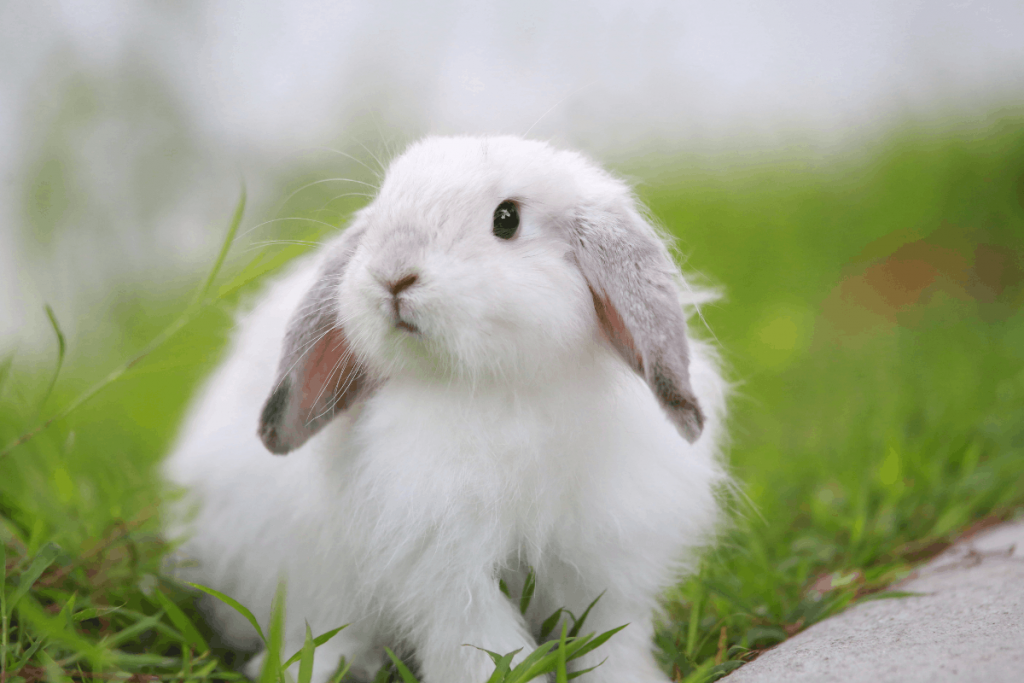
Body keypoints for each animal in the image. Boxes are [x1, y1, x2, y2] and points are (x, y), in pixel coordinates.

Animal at [162, 135, 729, 683]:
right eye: (383, 208)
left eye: (507, 219)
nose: (393, 275)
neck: (499, 387)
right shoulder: (448, 572)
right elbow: (482, 647)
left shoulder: (606, 563)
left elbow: (611, 640)